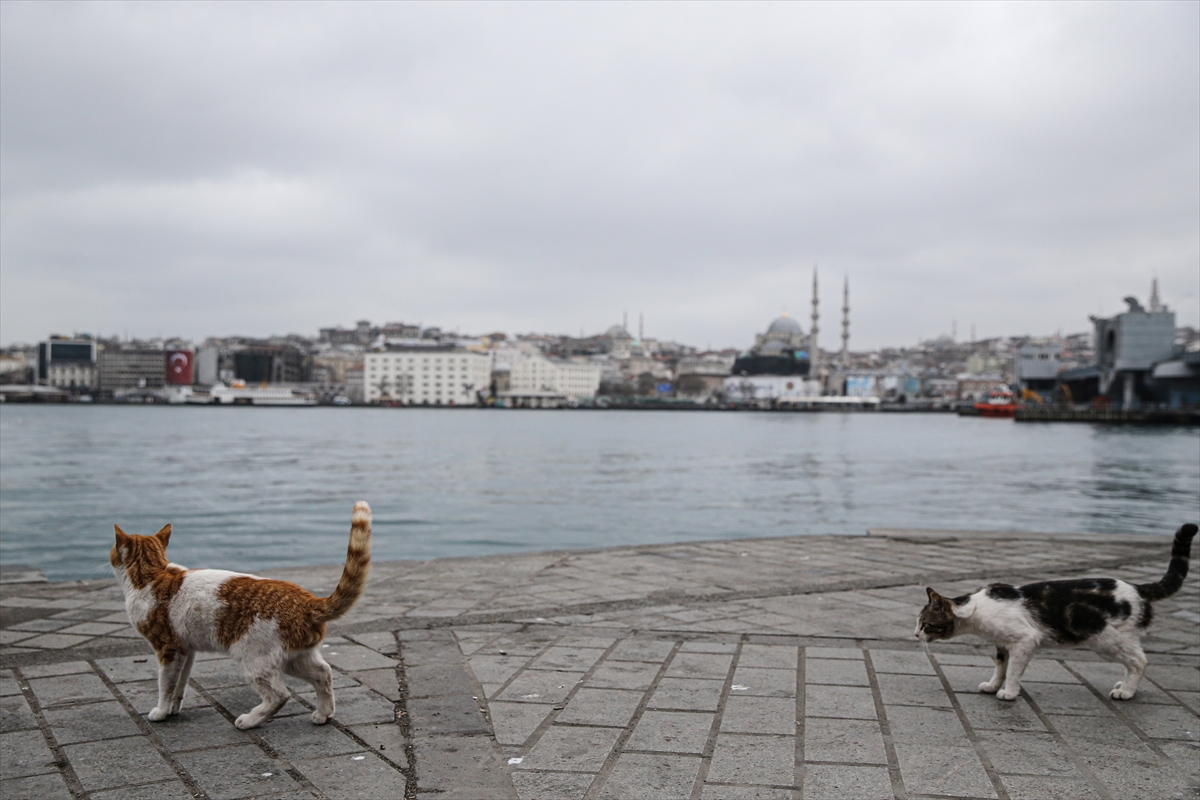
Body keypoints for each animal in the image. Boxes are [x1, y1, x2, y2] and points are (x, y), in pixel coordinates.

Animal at [111, 503, 369, 729]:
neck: (152, 575)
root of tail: (308, 601)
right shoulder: (186, 650)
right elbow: (179, 684)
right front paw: (174, 708)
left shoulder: (167, 648)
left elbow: (165, 685)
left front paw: (162, 712)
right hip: (294, 658)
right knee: (323, 674)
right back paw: (323, 714)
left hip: (254, 658)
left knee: (279, 694)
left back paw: (250, 720)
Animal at [916, 520, 1190, 700]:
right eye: (918, 623)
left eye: (925, 623)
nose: (916, 634)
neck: (975, 609)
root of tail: (1136, 588)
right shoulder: (1003, 644)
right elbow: (1000, 667)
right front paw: (994, 686)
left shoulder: (1024, 641)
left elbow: (1013, 671)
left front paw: (1008, 693)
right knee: (1133, 661)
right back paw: (1124, 683)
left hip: (1109, 639)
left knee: (1139, 661)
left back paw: (1126, 691)